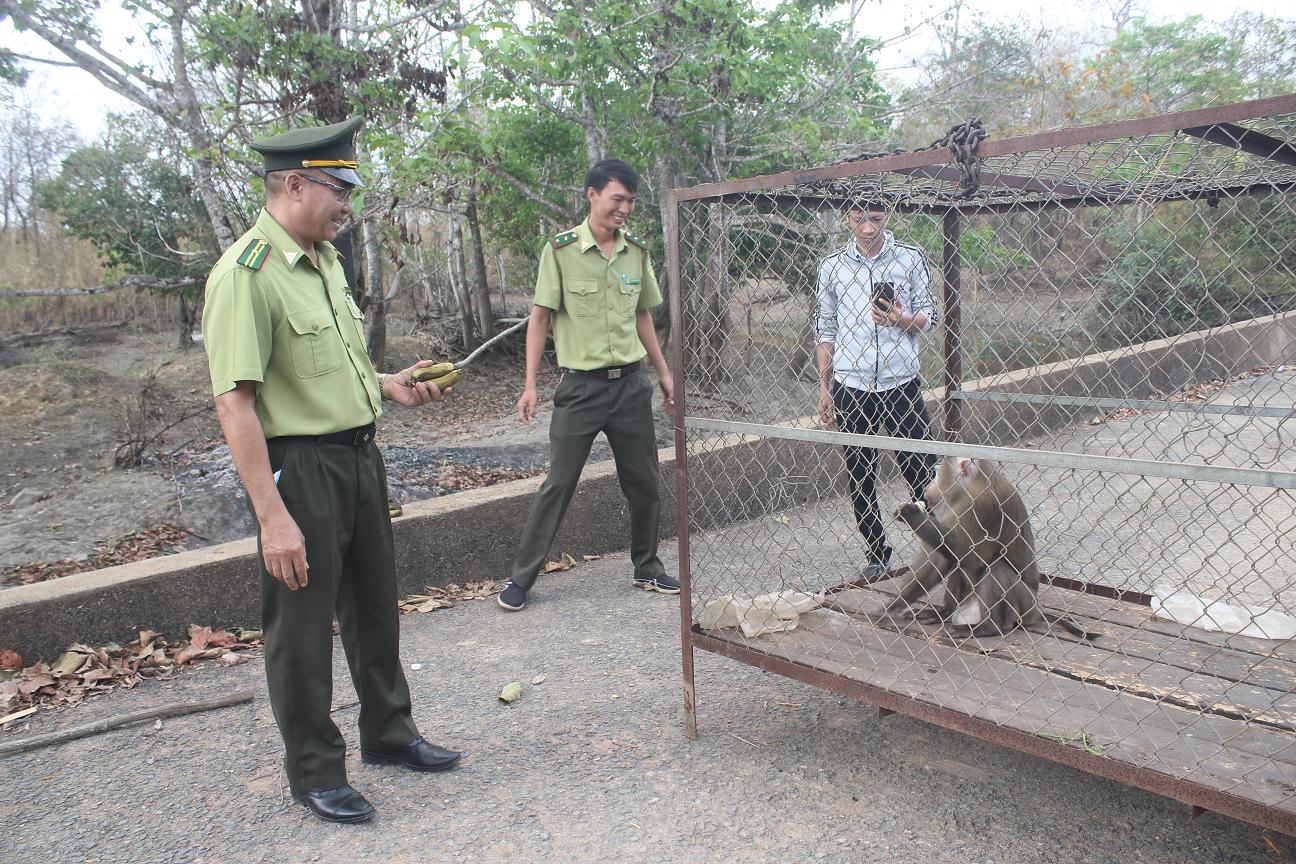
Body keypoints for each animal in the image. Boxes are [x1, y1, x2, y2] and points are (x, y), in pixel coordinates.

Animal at [881, 455, 1093, 639]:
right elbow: (944, 558)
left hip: (1023, 605)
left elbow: (972, 556)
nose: (928, 487)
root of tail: (1036, 610)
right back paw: (945, 612)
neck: (974, 483)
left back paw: (988, 628)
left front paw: (912, 514)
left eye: (937, 473)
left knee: (995, 567)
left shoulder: (980, 506)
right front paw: (894, 605)